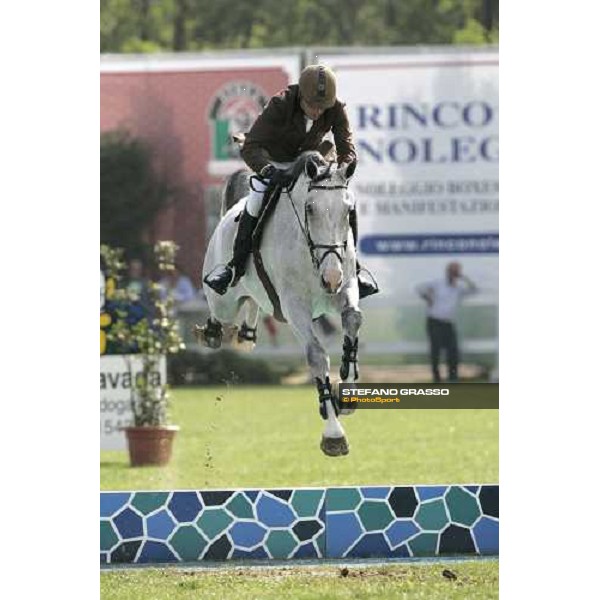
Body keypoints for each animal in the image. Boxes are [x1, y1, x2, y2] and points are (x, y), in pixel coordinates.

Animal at [198, 152, 360, 458]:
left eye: (348, 211)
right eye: (310, 209)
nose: (331, 277)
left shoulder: (346, 290)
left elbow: (353, 322)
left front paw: (347, 395)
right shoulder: (295, 307)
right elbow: (317, 356)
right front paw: (334, 435)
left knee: (253, 302)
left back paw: (247, 335)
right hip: (224, 301)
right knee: (222, 314)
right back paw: (213, 331)